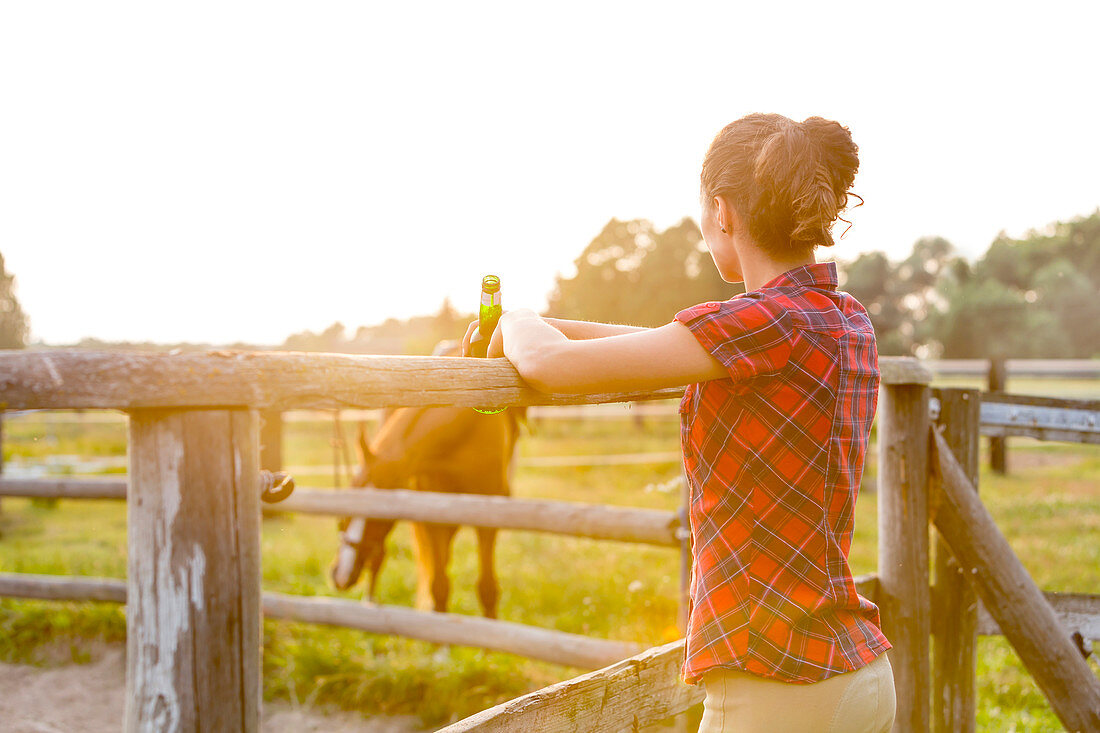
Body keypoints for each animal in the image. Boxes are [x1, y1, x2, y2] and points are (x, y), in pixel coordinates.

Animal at [325, 402, 519, 611]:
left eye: (380, 514)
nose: (340, 575)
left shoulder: (488, 519)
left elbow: (487, 589)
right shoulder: (433, 518)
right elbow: (440, 587)